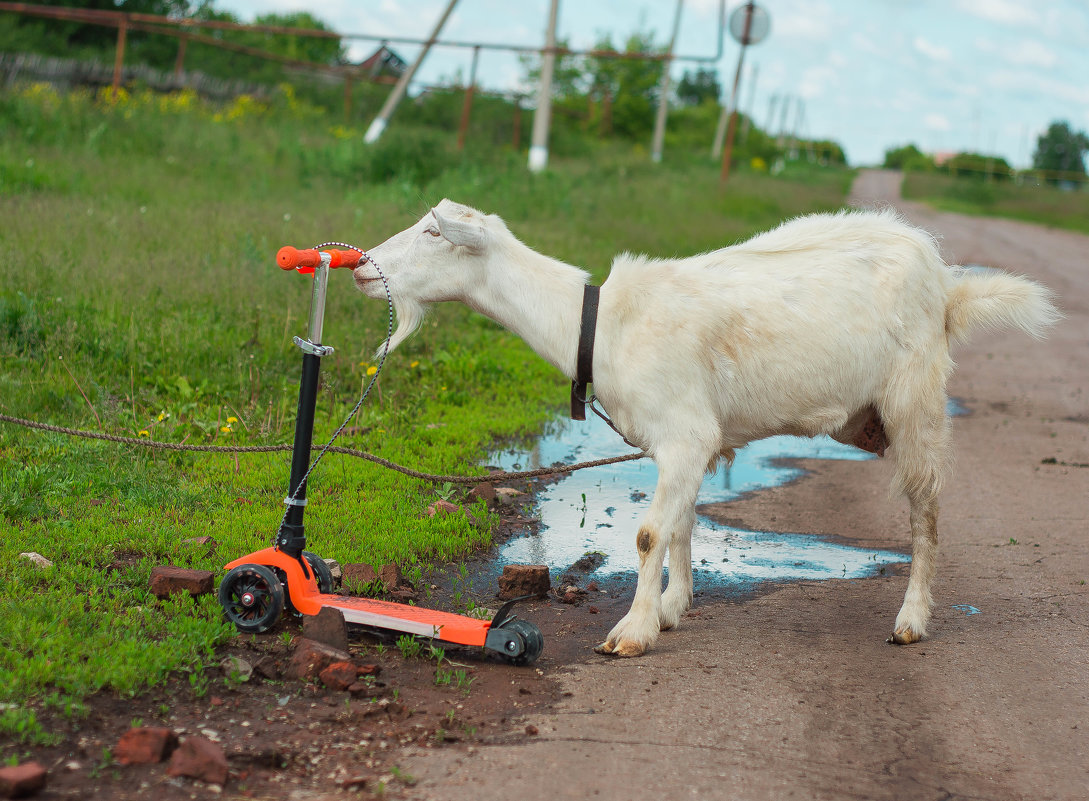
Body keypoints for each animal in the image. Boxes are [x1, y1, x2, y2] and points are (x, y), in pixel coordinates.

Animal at [355, 200, 1054, 657]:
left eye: (432, 233)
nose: (361, 265)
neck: (602, 326)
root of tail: (945, 283)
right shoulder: (688, 443)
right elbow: (682, 525)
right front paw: (671, 609)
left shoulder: (684, 434)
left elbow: (647, 534)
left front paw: (632, 632)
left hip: (914, 404)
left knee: (924, 512)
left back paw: (912, 619)